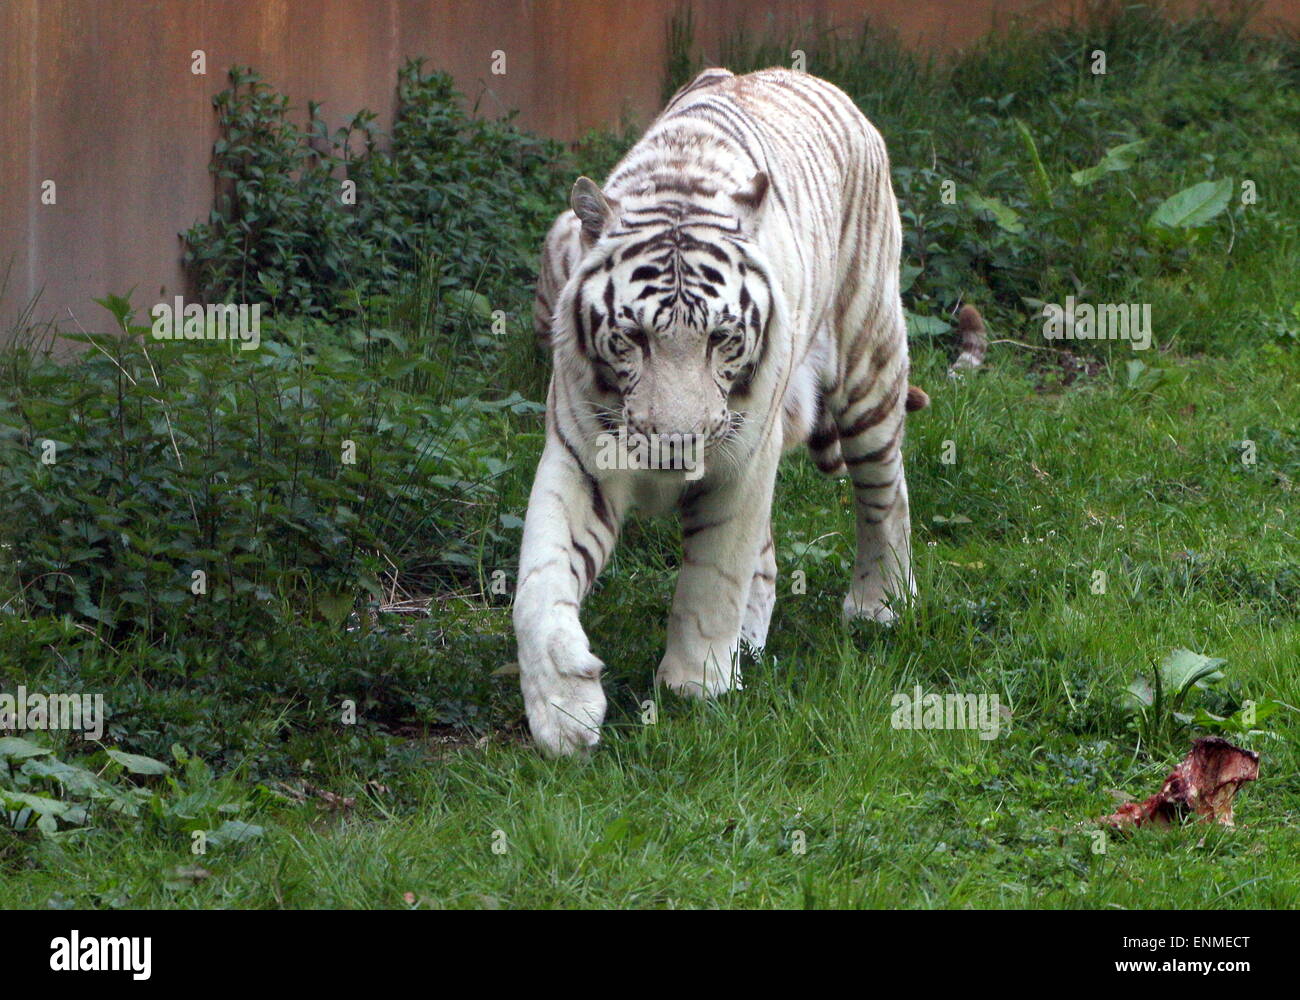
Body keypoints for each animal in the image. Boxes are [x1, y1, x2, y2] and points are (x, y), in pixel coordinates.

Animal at [517, 68, 977, 759]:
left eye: (721, 339)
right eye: (632, 338)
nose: (675, 445)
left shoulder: (741, 462)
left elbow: (713, 576)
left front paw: (693, 688)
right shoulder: (582, 457)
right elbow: (540, 579)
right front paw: (562, 711)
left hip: (868, 365)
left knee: (884, 493)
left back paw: (882, 603)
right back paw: (754, 639)